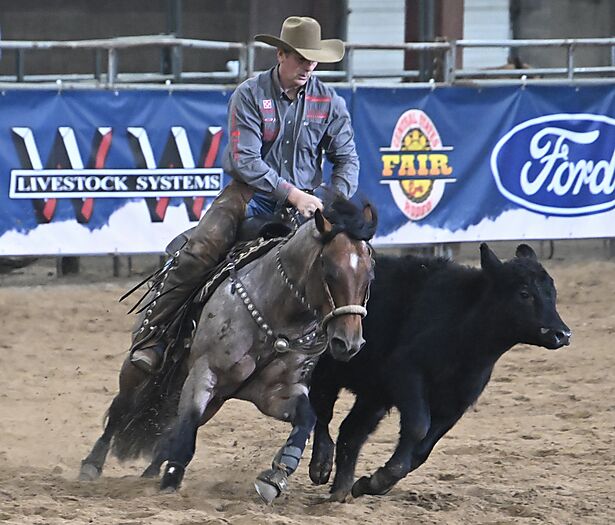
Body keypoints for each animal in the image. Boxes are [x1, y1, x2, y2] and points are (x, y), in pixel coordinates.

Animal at [79, 195, 377, 503]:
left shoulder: (275, 393)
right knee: (122, 407)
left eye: (369, 274)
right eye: (330, 271)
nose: (349, 342)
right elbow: (186, 431)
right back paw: (93, 464)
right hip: (141, 363)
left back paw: (149, 473)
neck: (276, 317)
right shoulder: (204, 372)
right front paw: (171, 482)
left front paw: (276, 476)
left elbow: (306, 418)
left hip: (211, 397)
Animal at [308, 243, 571, 501]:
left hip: (373, 396)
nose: (562, 333)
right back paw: (321, 465)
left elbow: (422, 450)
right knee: (323, 414)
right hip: (328, 372)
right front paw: (382, 478)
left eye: (553, 293)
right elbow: (418, 427)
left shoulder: (456, 402)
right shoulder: (407, 372)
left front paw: (370, 483)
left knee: (350, 432)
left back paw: (340, 489)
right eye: (524, 293)